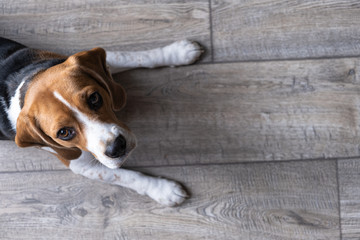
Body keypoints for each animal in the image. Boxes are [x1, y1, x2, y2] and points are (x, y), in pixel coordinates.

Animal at [0, 37, 202, 206]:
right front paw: (163, 190)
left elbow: (130, 55)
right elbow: (127, 176)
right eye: (64, 133)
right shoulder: (81, 165)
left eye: (94, 98)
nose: (117, 147)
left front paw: (177, 52)